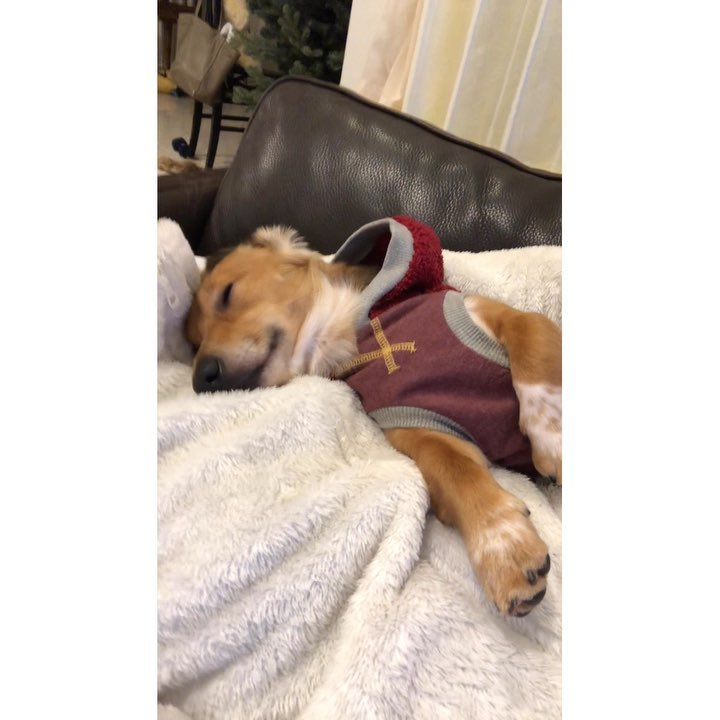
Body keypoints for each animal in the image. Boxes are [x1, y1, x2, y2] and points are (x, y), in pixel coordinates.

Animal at [185, 220, 561, 617]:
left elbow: (532, 343)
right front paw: (503, 546)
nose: (201, 378)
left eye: (227, 294)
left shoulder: (499, 315)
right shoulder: (416, 422)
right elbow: (457, 474)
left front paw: (552, 437)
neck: (346, 326)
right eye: (194, 343)